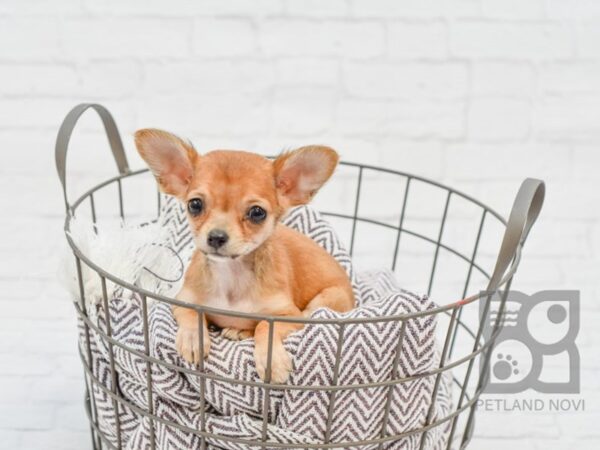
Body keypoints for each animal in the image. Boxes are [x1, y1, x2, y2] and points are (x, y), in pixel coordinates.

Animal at [134, 129, 354, 384]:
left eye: (257, 213)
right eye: (195, 205)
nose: (216, 237)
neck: (232, 276)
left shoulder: (293, 316)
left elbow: (265, 326)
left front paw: (271, 361)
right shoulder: (182, 301)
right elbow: (191, 313)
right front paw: (192, 338)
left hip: (325, 302)